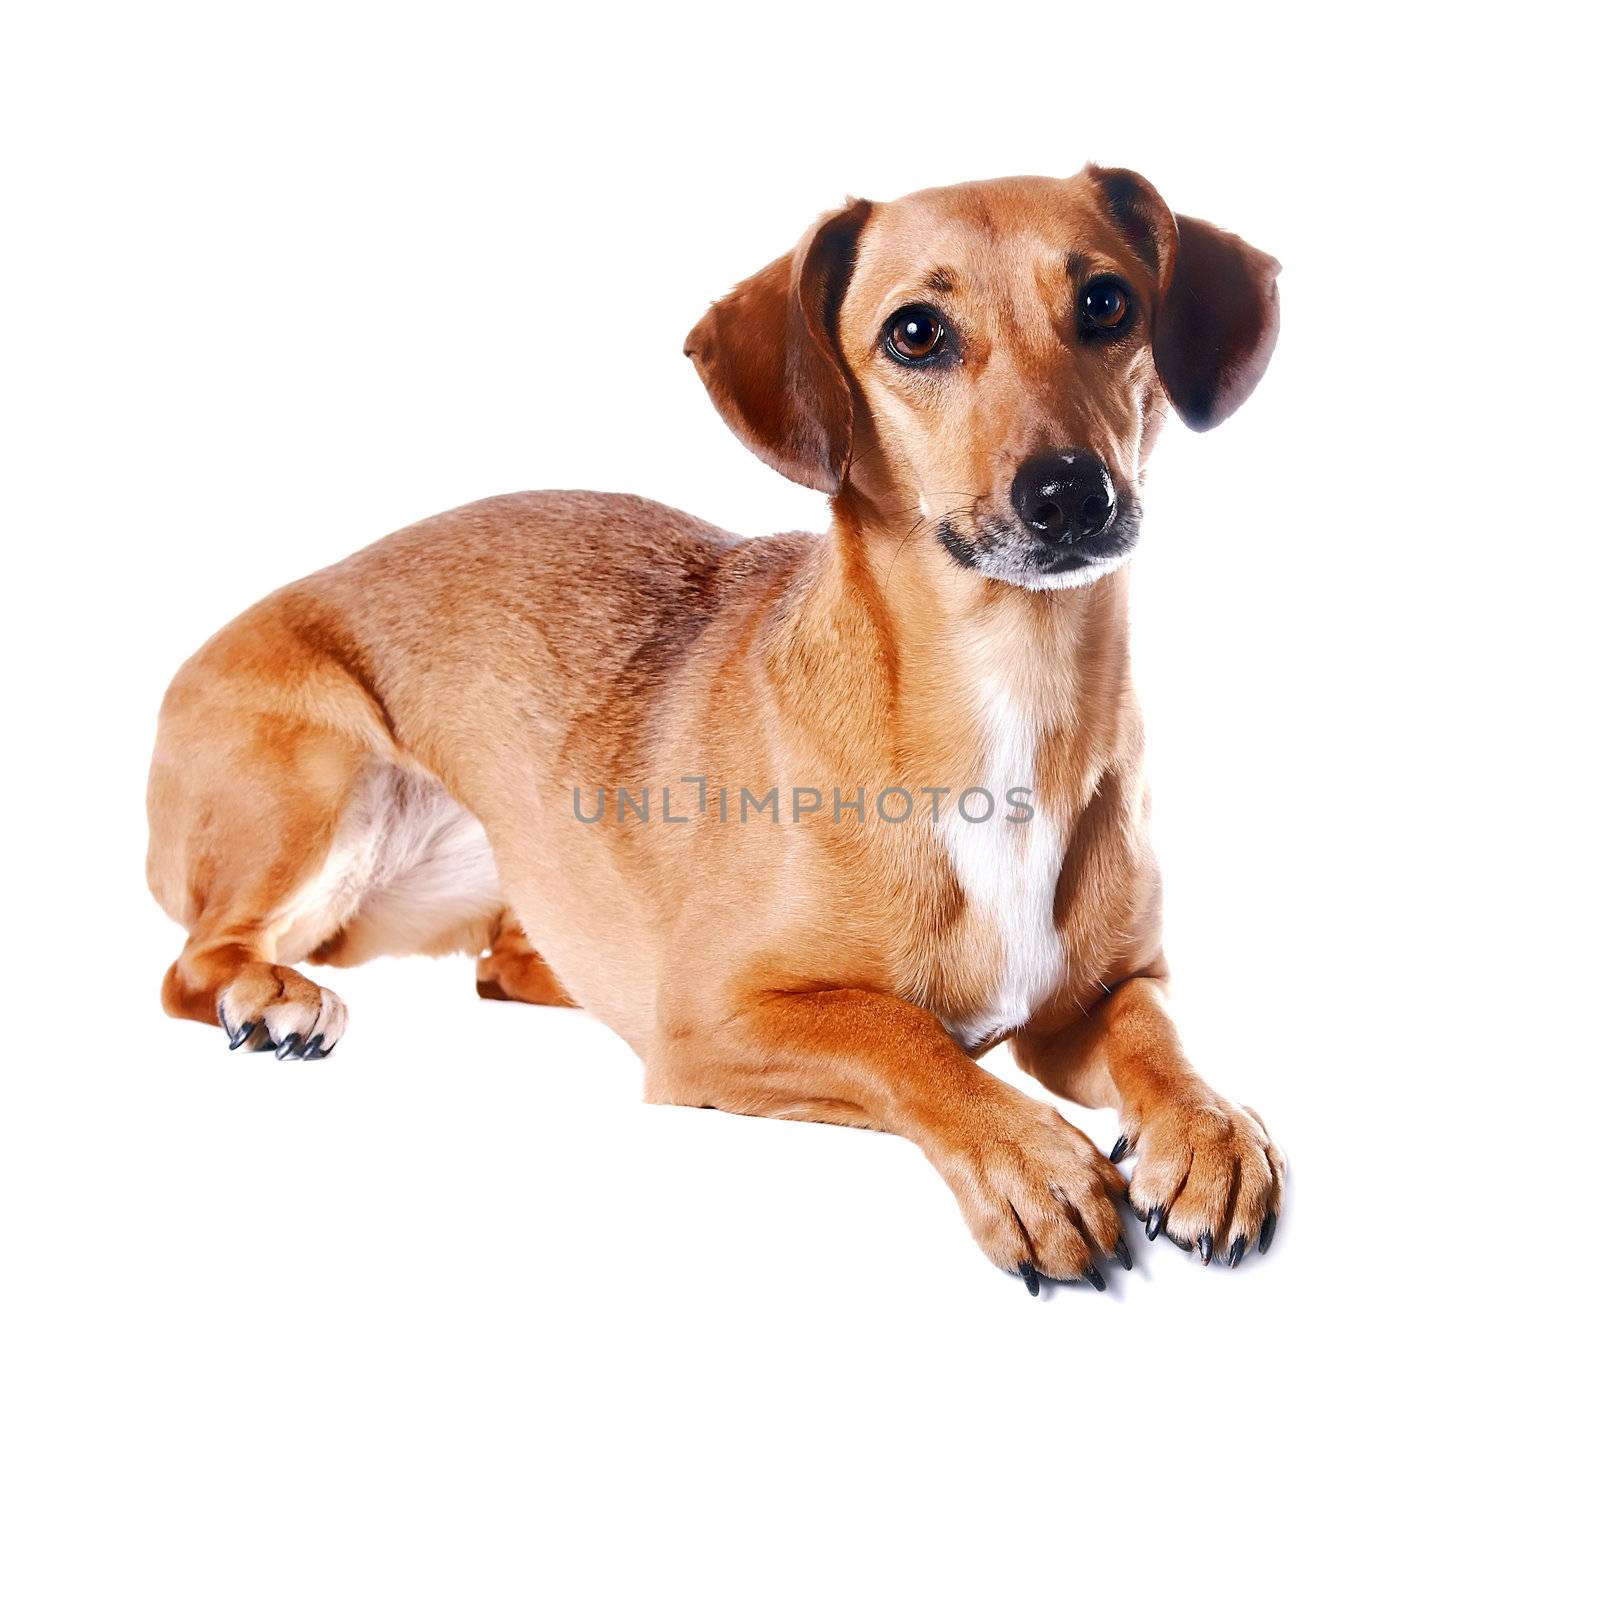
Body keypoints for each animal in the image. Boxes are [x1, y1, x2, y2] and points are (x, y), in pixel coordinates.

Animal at [150, 165, 1286, 1286]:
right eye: (916, 332)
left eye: (1107, 304)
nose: (1069, 493)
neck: (1008, 685)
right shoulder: (714, 1025)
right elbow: (898, 1034)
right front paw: (1026, 1157)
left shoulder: (1103, 995)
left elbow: (1156, 1037)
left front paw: (1209, 1130)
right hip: (320, 792)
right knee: (197, 959)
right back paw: (271, 997)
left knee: (501, 962)